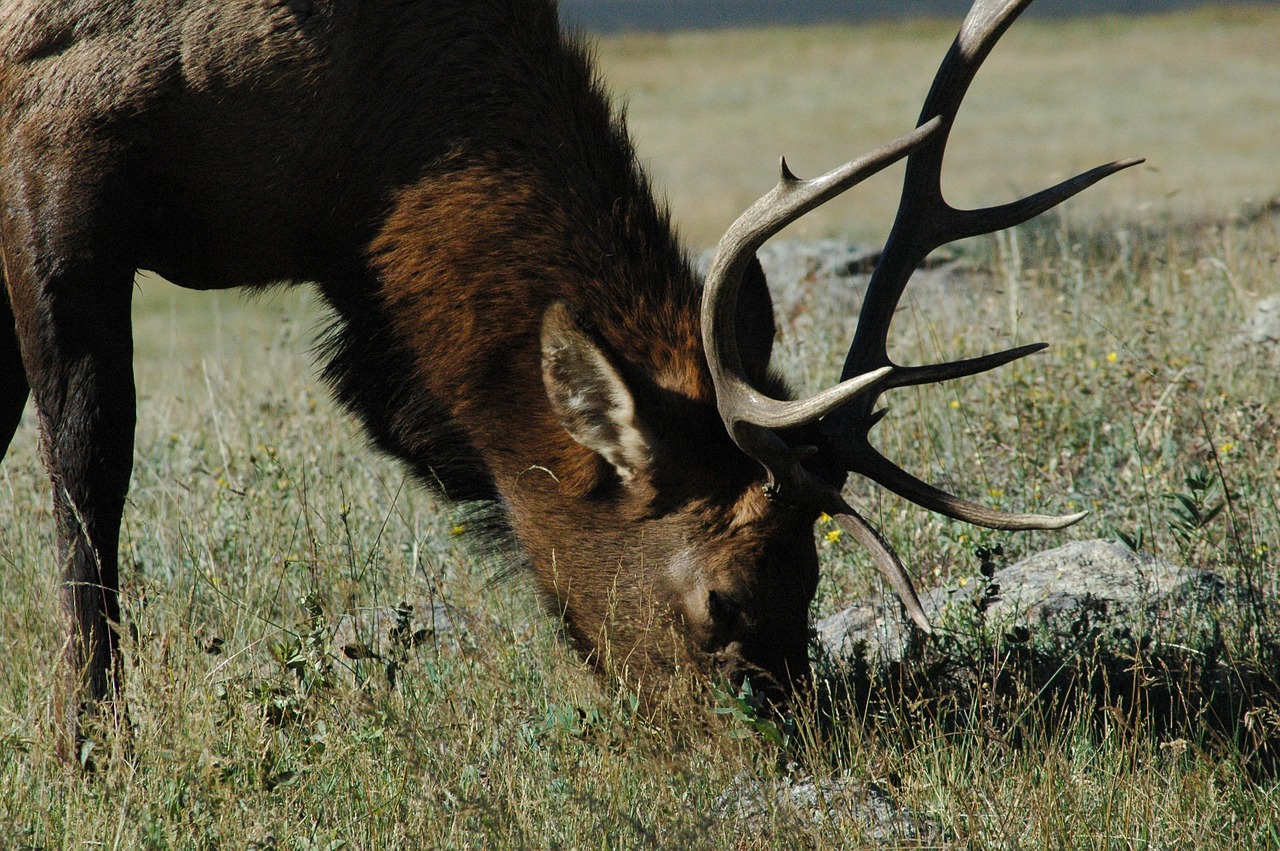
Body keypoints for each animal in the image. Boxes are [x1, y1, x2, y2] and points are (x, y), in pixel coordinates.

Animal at [2, 0, 1141, 752]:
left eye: (813, 581)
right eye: (724, 600)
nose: (779, 753)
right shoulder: (57, 134)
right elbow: (88, 462)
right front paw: (89, 744)